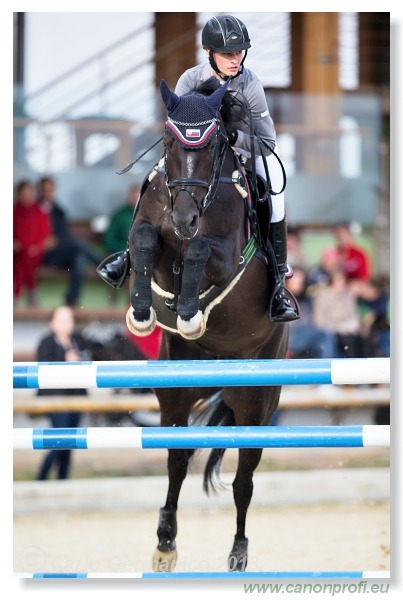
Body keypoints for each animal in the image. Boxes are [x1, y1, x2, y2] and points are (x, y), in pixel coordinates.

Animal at [124, 76, 288, 572]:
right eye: (169, 141)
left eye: (214, 143)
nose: (185, 218)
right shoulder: (152, 236)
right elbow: (143, 240)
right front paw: (143, 313)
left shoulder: (224, 253)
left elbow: (198, 250)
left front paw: (190, 312)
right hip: (176, 394)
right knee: (177, 462)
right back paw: (165, 544)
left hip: (255, 405)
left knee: (243, 480)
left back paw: (238, 551)